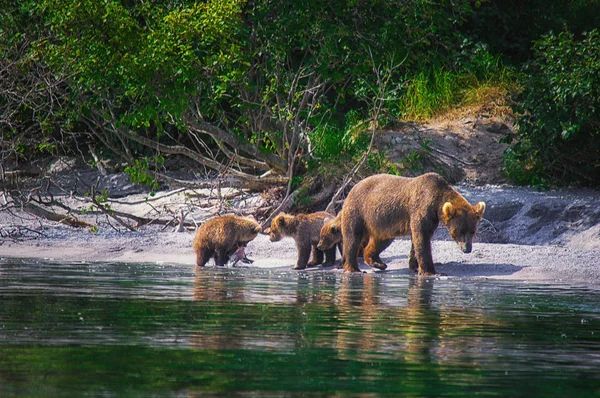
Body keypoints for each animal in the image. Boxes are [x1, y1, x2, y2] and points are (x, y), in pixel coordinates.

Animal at [340, 173, 486, 276]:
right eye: (459, 231)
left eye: (472, 231)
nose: (467, 249)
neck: (436, 201)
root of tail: (352, 187)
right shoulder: (421, 209)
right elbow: (422, 238)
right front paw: (431, 271)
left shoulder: (431, 218)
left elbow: (417, 240)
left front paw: (414, 266)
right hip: (358, 210)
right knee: (353, 237)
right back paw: (353, 268)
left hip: (383, 222)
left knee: (381, 240)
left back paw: (377, 262)